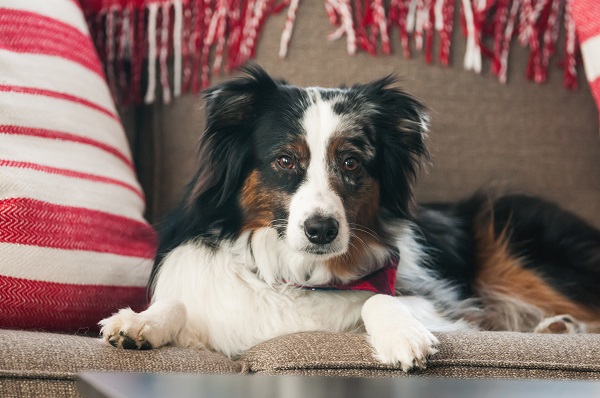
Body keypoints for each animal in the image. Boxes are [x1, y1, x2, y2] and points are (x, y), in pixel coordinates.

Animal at [101, 63, 600, 372]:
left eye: (351, 162)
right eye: (285, 160)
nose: (321, 230)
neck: (298, 273)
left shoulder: (440, 302)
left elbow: (378, 299)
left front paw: (403, 335)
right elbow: (180, 304)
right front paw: (138, 323)